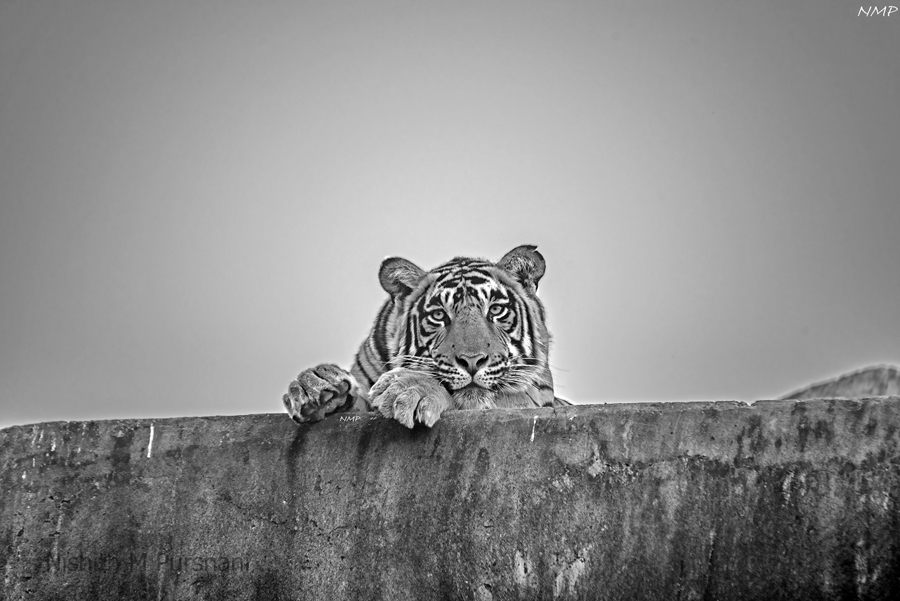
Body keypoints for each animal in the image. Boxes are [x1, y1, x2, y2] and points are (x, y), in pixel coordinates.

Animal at [282, 245, 567, 428]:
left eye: (496, 310)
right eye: (439, 315)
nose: (472, 361)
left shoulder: (536, 394)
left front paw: (411, 389)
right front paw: (317, 387)